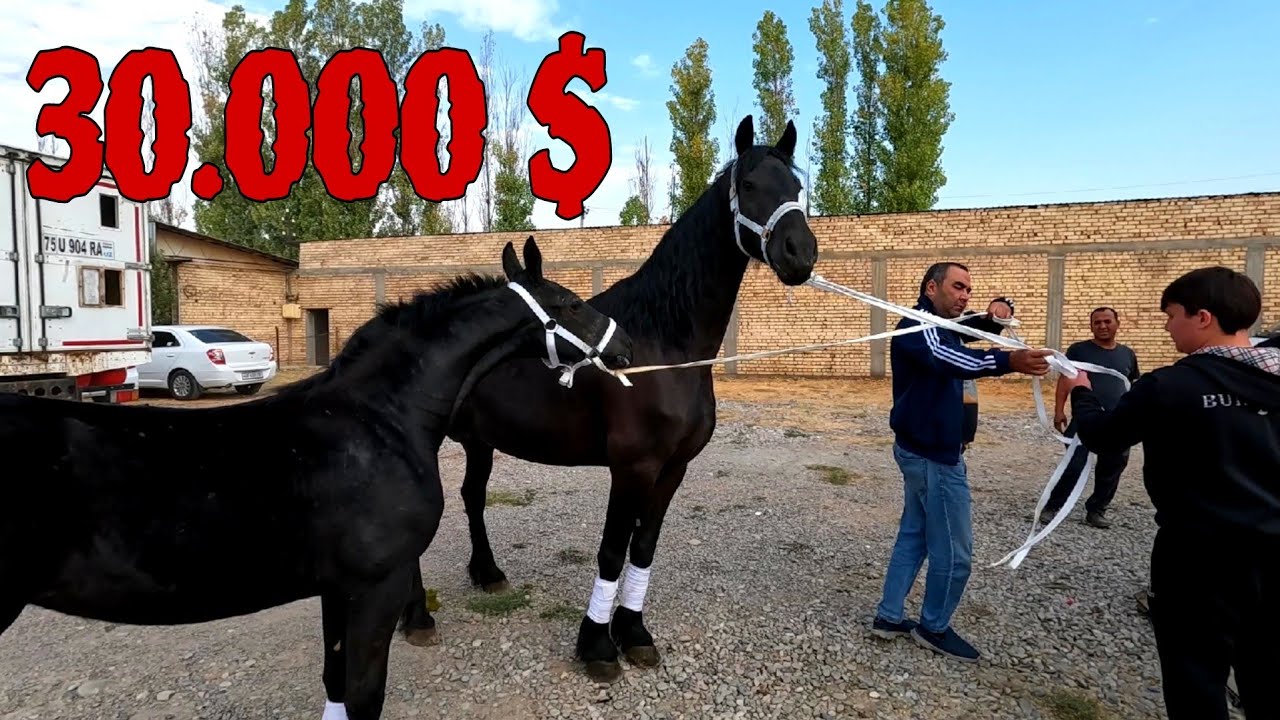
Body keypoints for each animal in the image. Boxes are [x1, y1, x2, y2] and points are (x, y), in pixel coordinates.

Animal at [0, 237, 633, 720]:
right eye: (571, 304)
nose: (626, 346)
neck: (380, 416)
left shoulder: (336, 588)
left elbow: (336, 686)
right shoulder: (375, 587)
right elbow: (363, 696)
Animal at [396, 115, 821, 682]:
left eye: (796, 186)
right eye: (750, 185)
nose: (801, 254)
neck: (662, 346)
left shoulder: (673, 469)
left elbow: (643, 549)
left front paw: (634, 633)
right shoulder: (632, 467)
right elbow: (612, 551)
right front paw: (597, 644)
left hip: (479, 442)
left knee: (473, 497)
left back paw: (486, 573)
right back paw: (417, 616)